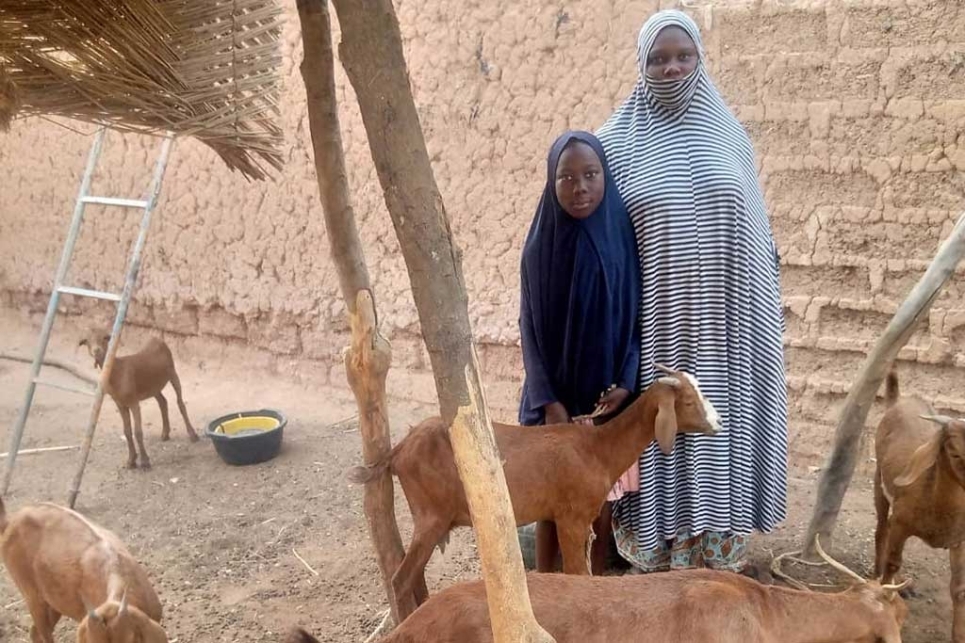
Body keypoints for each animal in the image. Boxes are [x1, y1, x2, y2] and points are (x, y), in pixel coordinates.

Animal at [872, 370, 964, 640]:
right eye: (954, 452)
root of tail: (898, 400)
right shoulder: (902, 522)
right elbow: (892, 563)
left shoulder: (959, 539)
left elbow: (959, 588)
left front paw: (959, 635)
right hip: (879, 481)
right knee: (882, 528)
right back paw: (879, 572)